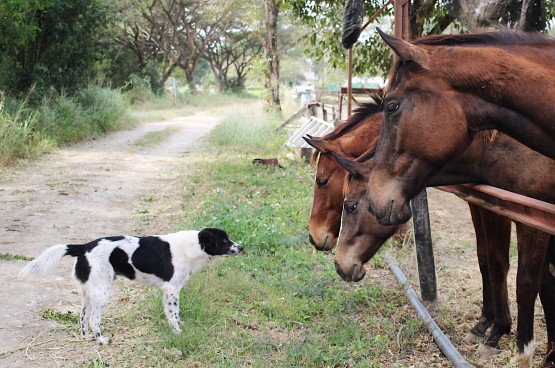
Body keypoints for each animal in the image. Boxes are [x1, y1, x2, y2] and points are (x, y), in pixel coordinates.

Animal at [19, 227, 243, 344]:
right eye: (224, 241)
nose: (241, 247)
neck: (192, 246)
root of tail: (84, 247)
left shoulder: (167, 291)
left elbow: (173, 314)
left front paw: (179, 326)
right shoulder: (172, 290)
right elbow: (174, 314)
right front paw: (178, 332)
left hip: (89, 292)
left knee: (82, 317)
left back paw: (87, 337)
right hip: (102, 292)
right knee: (93, 319)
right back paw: (101, 339)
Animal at [306, 103, 520, 360]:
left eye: (322, 181)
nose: (313, 237)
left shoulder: (500, 208)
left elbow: (498, 264)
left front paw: (498, 331)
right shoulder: (477, 202)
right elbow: (483, 258)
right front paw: (483, 324)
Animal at [332, 132, 555, 366]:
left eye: (350, 206)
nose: (339, 264)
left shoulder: (525, 220)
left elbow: (520, 279)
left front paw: (503, 339)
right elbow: (499, 265)